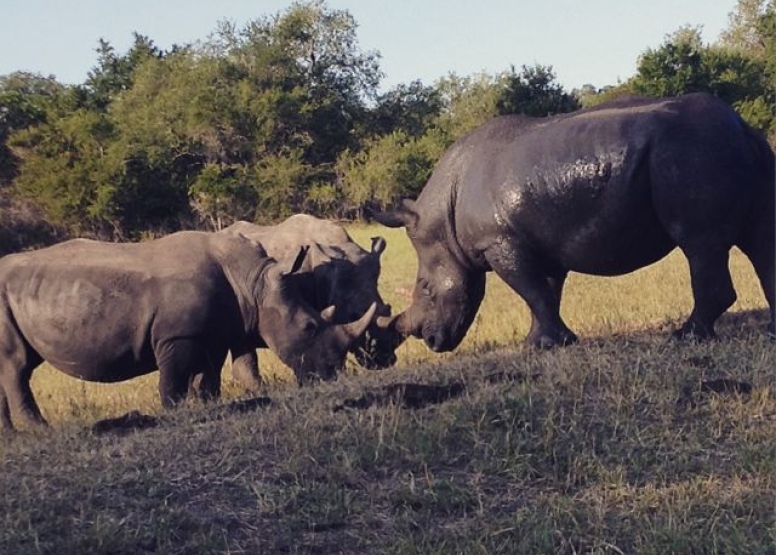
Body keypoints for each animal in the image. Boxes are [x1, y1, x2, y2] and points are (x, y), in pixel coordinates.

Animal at [0, 230, 376, 430]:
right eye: (309, 327)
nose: (332, 373)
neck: (253, 283)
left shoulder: (212, 333)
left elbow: (207, 375)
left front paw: (207, 404)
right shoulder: (176, 336)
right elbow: (175, 378)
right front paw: (173, 411)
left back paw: (12, 434)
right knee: (16, 365)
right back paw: (38, 429)